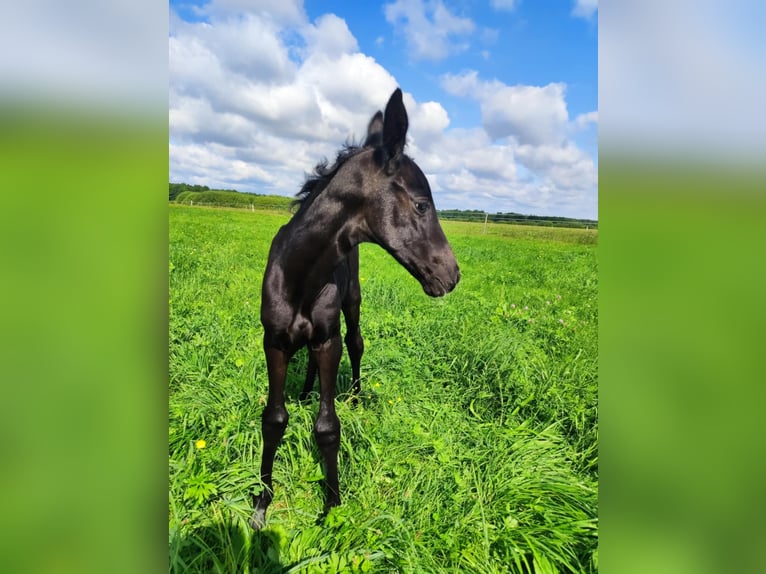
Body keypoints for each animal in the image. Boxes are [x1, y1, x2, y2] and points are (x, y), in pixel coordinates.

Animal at [251, 88, 460, 529]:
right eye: (421, 205)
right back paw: (307, 390)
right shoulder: (273, 341)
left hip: (353, 303)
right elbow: (274, 420)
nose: (451, 275)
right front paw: (260, 504)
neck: (299, 275)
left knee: (357, 342)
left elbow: (328, 427)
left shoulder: (328, 340)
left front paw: (331, 506)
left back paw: (356, 395)